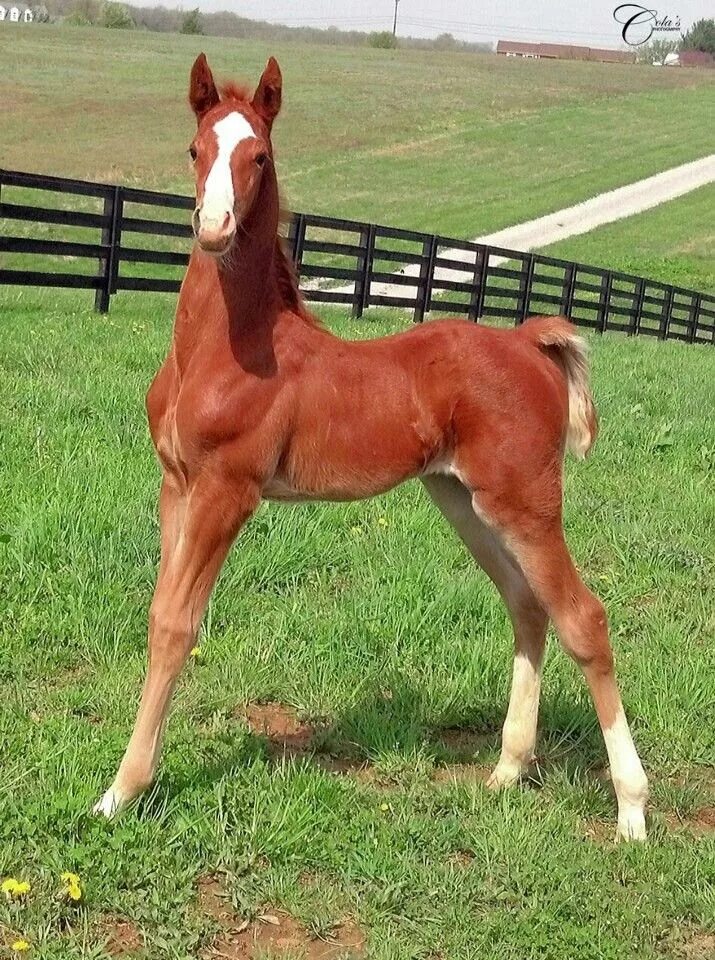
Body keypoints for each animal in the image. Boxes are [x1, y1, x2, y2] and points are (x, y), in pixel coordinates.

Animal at [95, 56, 648, 836]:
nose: (215, 226)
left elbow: (176, 624)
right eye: (195, 149)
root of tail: (526, 342)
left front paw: (122, 791)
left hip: (526, 502)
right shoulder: (176, 486)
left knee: (583, 618)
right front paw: (130, 785)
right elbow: (157, 615)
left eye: (258, 155)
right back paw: (507, 769)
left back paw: (631, 808)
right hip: (464, 500)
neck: (226, 348)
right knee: (527, 605)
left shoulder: (225, 492)